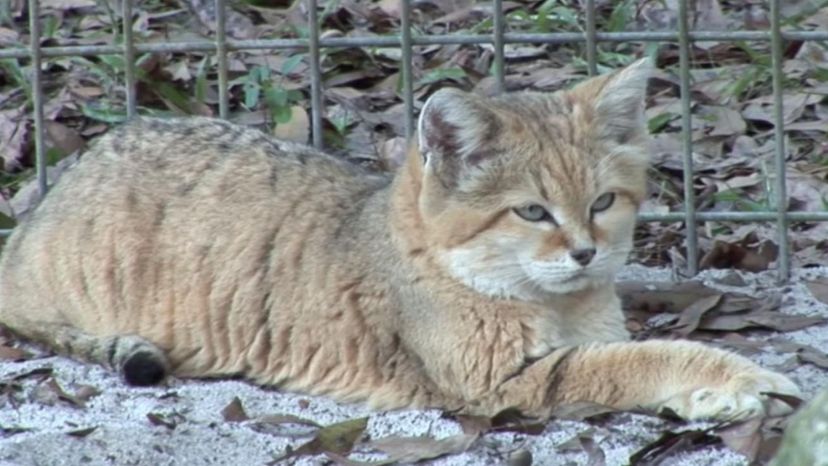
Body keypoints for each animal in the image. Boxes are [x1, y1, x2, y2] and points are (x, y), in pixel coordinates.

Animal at [0, 60, 804, 420]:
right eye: (532, 213)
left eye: (604, 201)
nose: (586, 253)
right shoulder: (501, 384)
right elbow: (640, 359)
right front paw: (733, 379)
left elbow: (629, 350)